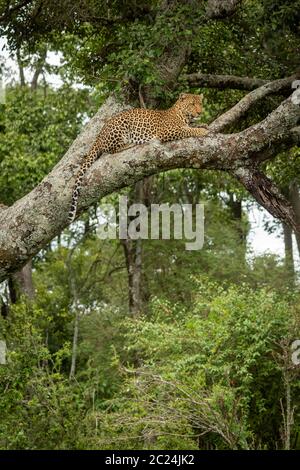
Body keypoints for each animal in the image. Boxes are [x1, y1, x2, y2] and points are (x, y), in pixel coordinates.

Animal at [68, 93, 209, 224]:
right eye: (192, 104)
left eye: (200, 104)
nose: (200, 112)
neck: (184, 116)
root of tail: (99, 135)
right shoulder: (167, 132)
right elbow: (187, 130)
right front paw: (201, 131)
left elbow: (192, 126)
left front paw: (203, 124)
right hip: (121, 126)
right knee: (112, 149)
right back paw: (130, 143)